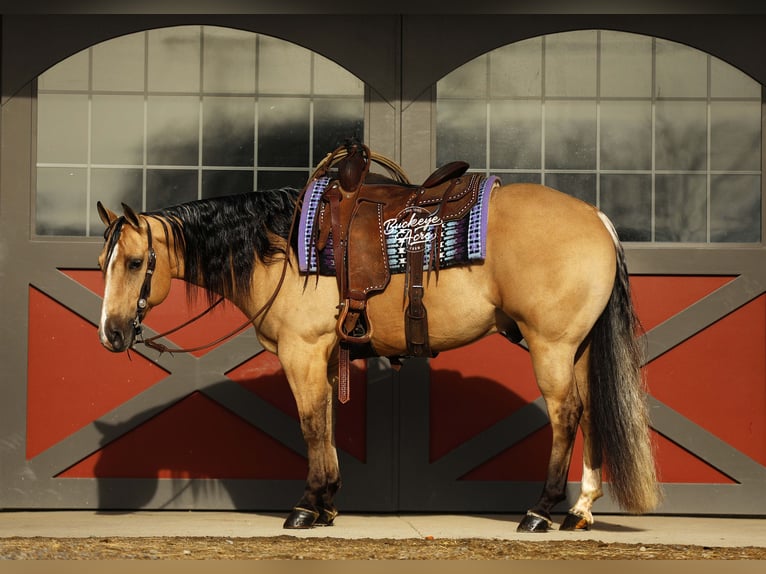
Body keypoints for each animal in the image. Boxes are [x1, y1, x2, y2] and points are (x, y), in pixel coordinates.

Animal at [95, 177, 661, 532]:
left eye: (137, 262)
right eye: (103, 261)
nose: (111, 335)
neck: (281, 248)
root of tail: (596, 218)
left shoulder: (302, 351)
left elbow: (310, 424)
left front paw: (307, 507)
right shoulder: (325, 356)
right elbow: (326, 422)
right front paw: (327, 504)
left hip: (552, 346)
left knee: (566, 415)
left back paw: (540, 512)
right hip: (579, 348)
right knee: (591, 413)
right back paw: (579, 510)